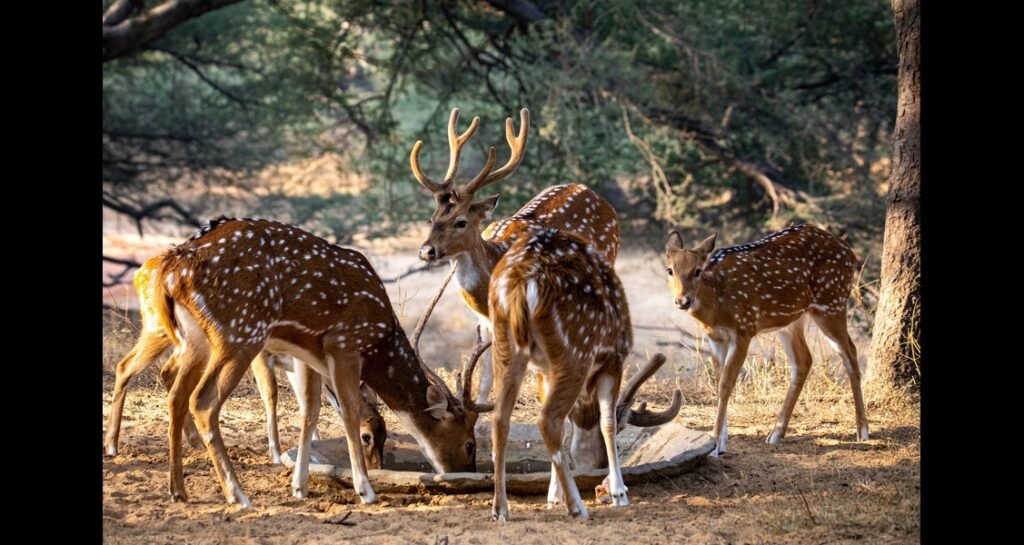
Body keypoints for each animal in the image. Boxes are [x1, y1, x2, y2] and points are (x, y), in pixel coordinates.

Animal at [104, 255, 387, 469]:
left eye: (385, 434)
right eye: (366, 436)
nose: (376, 466)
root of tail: (142, 270)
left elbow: (306, 400)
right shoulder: (262, 355)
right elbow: (272, 394)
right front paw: (276, 454)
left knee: (166, 371)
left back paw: (194, 441)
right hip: (159, 328)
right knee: (125, 366)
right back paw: (112, 446)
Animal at [150, 217, 490, 508]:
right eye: (469, 443)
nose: (465, 472)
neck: (381, 342)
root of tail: (172, 267)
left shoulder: (309, 354)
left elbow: (309, 411)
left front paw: (299, 487)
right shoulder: (344, 345)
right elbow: (349, 412)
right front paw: (365, 490)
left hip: (195, 339)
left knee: (176, 394)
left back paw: (177, 491)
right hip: (241, 333)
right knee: (203, 401)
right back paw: (239, 496)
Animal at [410, 107, 679, 478]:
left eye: (461, 221)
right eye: (432, 217)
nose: (426, 251)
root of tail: (593, 192)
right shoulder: (486, 326)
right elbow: (486, 385)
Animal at [486, 228, 634, 521]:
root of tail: (523, 279)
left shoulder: (544, 371)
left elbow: (570, 428)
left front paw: (553, 495)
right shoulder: (613, 361)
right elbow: (608, 423)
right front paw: (619, 493)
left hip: (505, 344)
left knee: (500, 418)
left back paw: (500, 509)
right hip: (576, 350)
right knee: (548, 419)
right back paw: (577, 506)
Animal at [664, 224, 869, 457]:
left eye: (697, 270)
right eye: (670, 270)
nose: (682, 300)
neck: (717, 306)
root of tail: (850, 252)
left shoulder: (744, 329)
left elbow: (726, 385)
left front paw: (715, 444)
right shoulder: (715, 338)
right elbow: (718, 382)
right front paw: (720, 442)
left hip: (832, 302)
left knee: (850, 353)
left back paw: (862, 430)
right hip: (791, 319)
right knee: (804, 360)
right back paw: (776, 433)